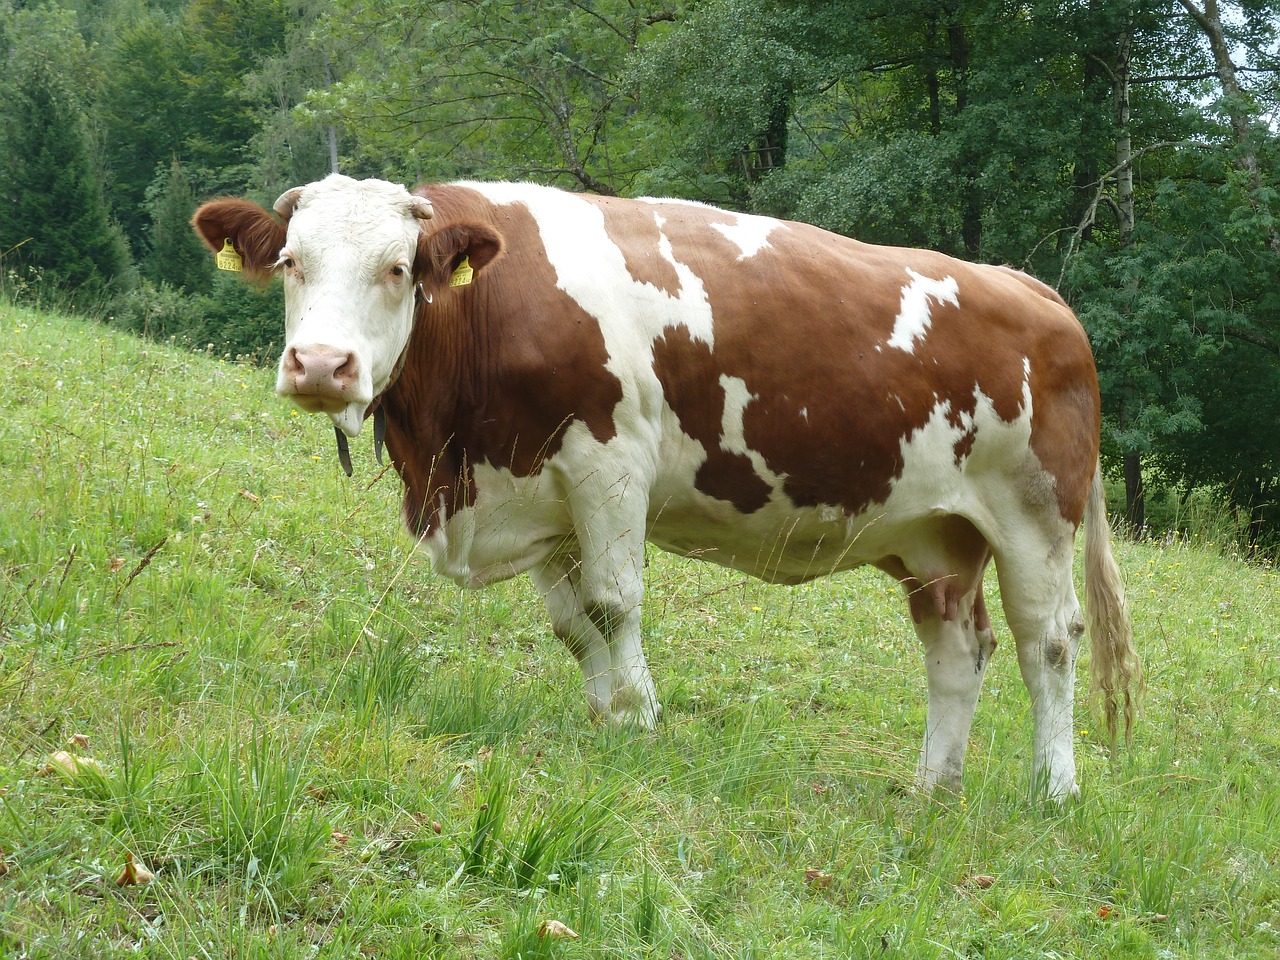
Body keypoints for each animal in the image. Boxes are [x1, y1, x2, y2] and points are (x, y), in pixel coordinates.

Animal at [192, 175, 1141, 803]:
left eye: (396, 268)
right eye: (291, 262)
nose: (321, 366)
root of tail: (1032, 286)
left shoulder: (608, 463)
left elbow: (614, 602)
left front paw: (640, 718)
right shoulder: (543, 497)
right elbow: (572, 625)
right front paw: (606, 715)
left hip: (1035, 517)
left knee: (1049, 643)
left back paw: (1054, 789)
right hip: (936, 536)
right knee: (958, 650)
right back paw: (931, 786)